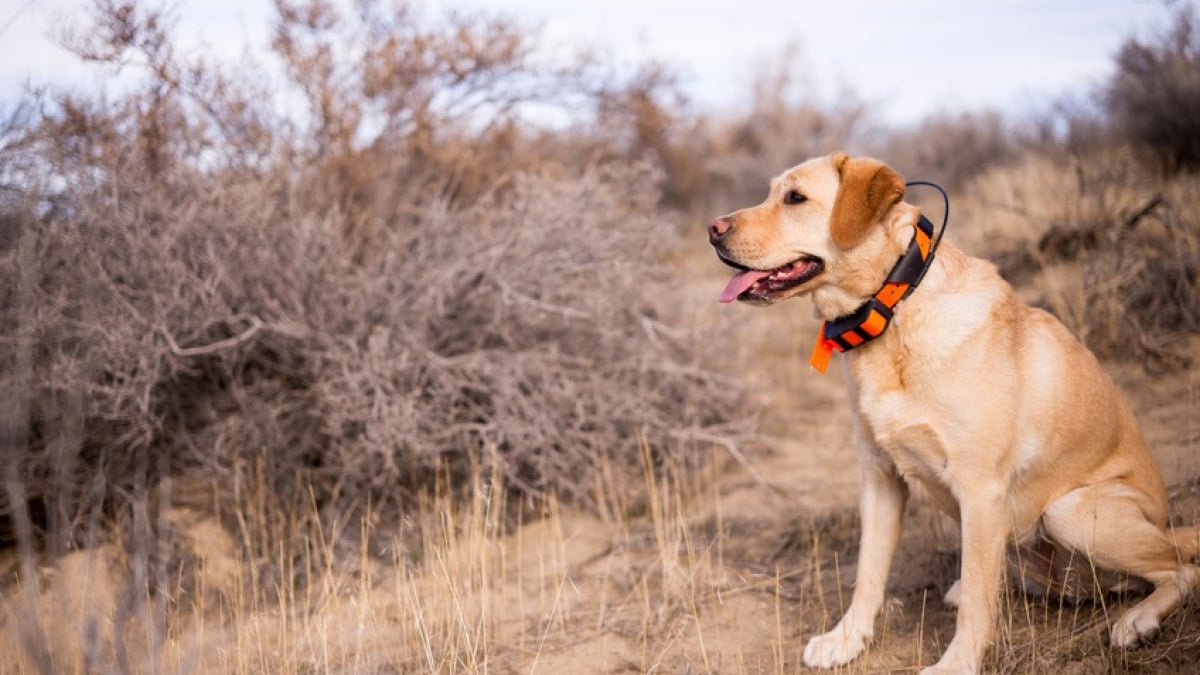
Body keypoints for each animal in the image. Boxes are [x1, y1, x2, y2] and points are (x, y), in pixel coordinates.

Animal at [705, 149, 1195, 667]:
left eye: (795, 198)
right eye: (770, 193)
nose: (712, 229)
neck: (895, 311)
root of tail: (1167, 524)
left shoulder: (980, 491)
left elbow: (979, 602)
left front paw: (956, 664)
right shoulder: (880, 476)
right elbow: (869, 573)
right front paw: (848, 638)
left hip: (1070, 510)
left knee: (1181, 570)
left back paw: (1138, 621)